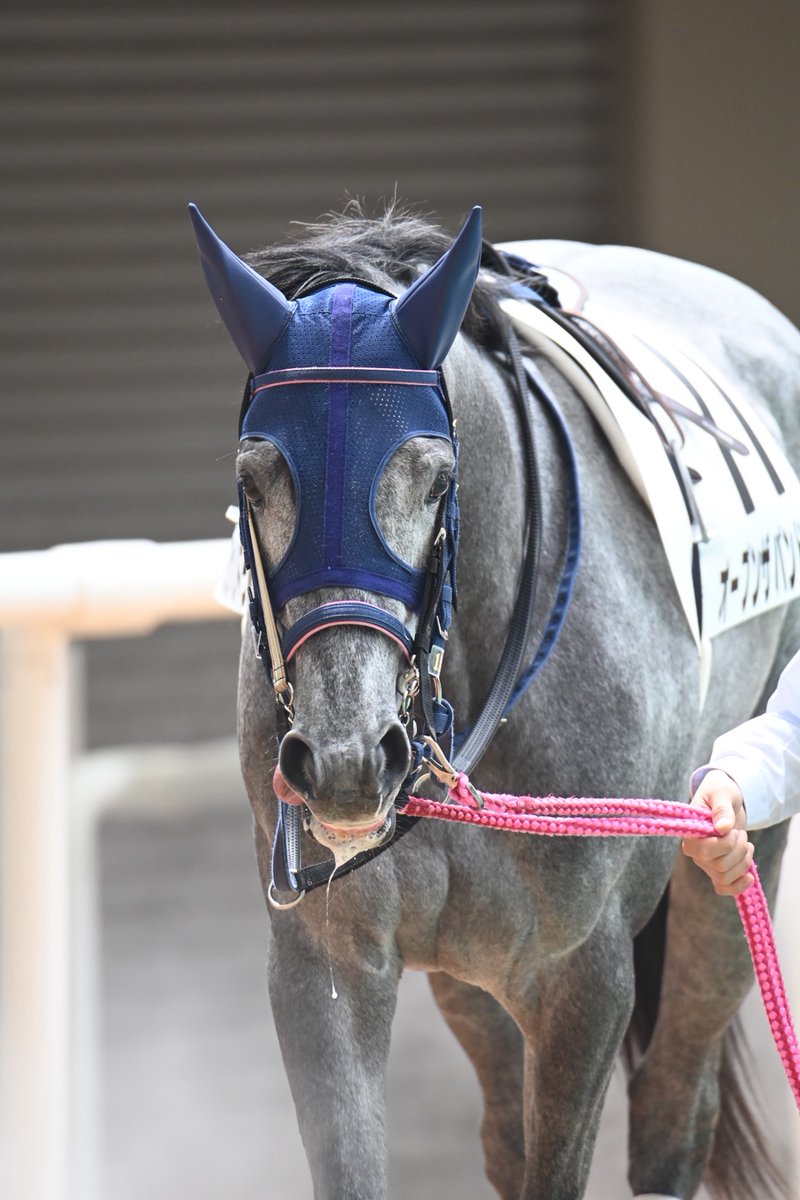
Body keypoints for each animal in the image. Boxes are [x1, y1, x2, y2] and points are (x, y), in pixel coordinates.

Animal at [190, 200, 800, 1199]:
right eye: (254, 477)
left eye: (436, 476)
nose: (347, 763)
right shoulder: (326, 962)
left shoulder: (583, 980)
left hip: (728, 867)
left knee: (675, 1112)